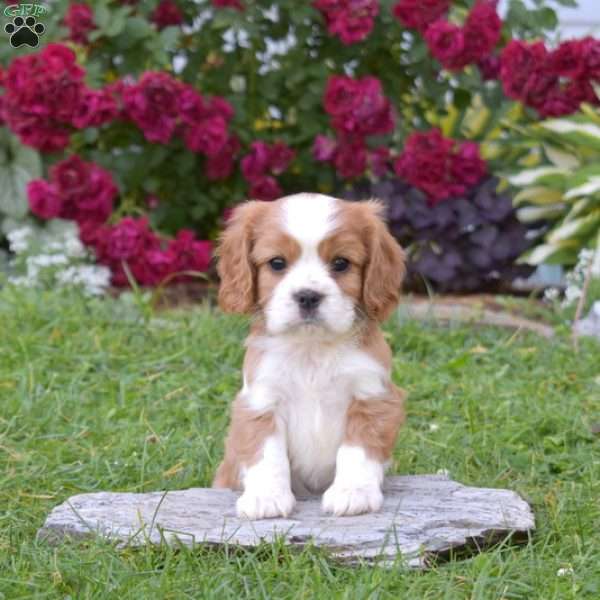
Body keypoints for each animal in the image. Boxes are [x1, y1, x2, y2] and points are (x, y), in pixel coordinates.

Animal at [213, 193, 406, 520]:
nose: (307, 296)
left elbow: (357, 450)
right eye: (277, 263)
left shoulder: (372, 396)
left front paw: (353, 493)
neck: (311, 348)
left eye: (341, 263)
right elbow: (266, 452)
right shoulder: (261, 400)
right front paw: (266, 497)